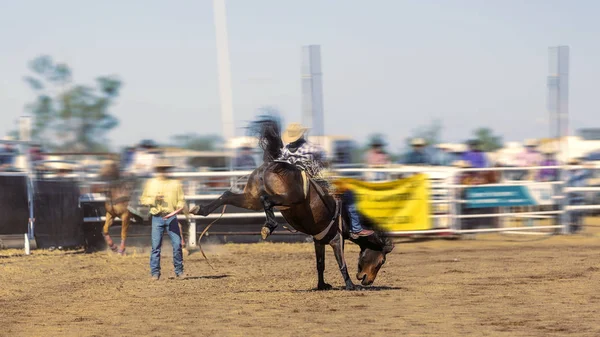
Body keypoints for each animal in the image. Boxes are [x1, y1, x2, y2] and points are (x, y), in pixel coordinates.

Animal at [192, 116, 396, 288]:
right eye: (382, 261)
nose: (367, 281)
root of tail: (273, 164)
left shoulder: (319, 240)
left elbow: (320, 263)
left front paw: (322, 285)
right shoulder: (336, 239)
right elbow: (341, 262)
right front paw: (350, 286)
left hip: (251, 198)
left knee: (227, 195)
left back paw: (199, 209)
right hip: (290, 198)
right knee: (267, 201)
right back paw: (269, 226)